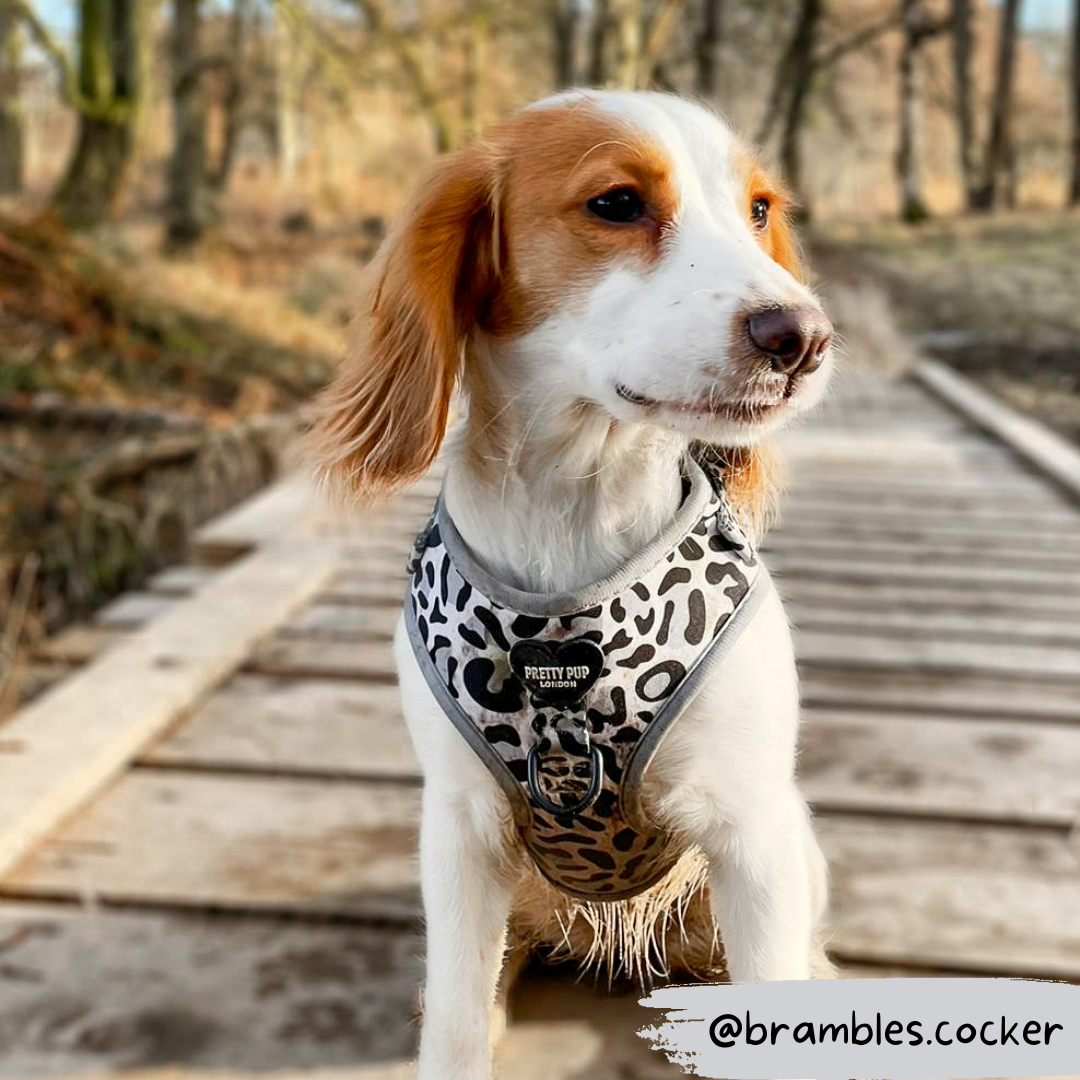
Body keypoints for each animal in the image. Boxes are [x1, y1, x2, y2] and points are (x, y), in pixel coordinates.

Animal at [313, 90, 833, 1080]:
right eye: (618, 204)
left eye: (758, 210)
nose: (805, 339)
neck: (579, 510)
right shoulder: (459, 832)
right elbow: (456, 1028)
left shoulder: (753, 830)